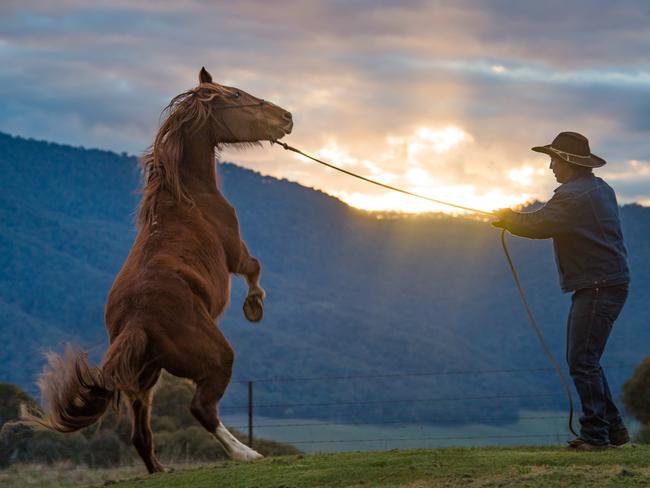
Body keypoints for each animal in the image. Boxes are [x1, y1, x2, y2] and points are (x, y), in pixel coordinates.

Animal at [25, 66, 292, 470]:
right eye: (235, 95)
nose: (286, 117)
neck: (187, 195)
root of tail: (137, 322)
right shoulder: (234, 252)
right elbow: (254, 267)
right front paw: (254, 306)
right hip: (215, 358)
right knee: (201, 409)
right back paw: (245, 453)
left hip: (145, 378)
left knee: (141, 435)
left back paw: (161, 469)